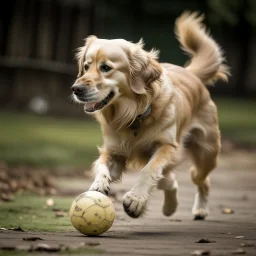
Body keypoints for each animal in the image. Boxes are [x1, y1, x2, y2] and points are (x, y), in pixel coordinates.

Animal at [71, 12, 229, 219]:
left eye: (105, 67)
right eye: (86, 66)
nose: (76, 89)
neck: (133, 114)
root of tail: (190, 73)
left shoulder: (168, 146)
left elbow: (150, 169)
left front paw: (136, 200)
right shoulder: (114, 150)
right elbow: (102, 164)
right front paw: (99, 183)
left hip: (206, 153)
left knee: (200, 180)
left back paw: (200, 209)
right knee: (169, 180)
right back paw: (170, 206)